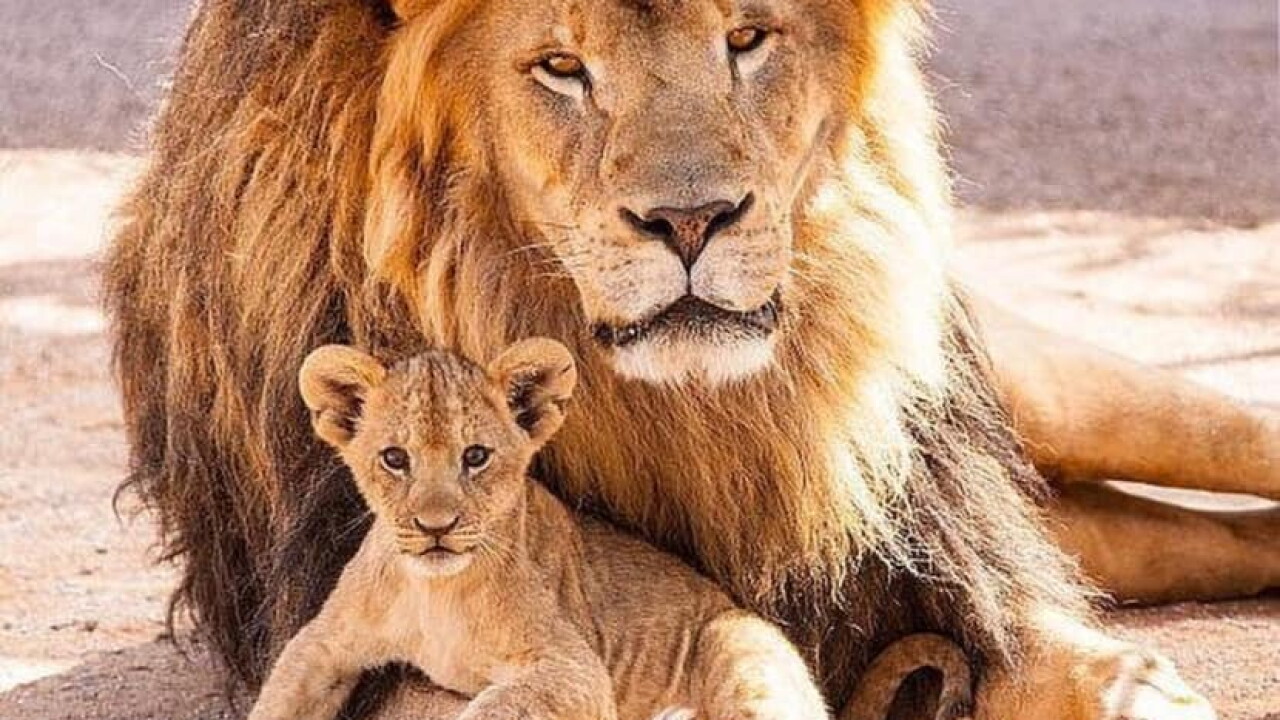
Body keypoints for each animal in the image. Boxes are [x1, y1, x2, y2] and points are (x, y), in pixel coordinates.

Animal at [251, 338, 827, 720]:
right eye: (395, 458)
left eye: (475, 456)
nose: (436, 527)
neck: (436, 592)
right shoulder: (325, 642)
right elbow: (278, 696)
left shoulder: (574, 669)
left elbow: (495, 707)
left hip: (736, 639)